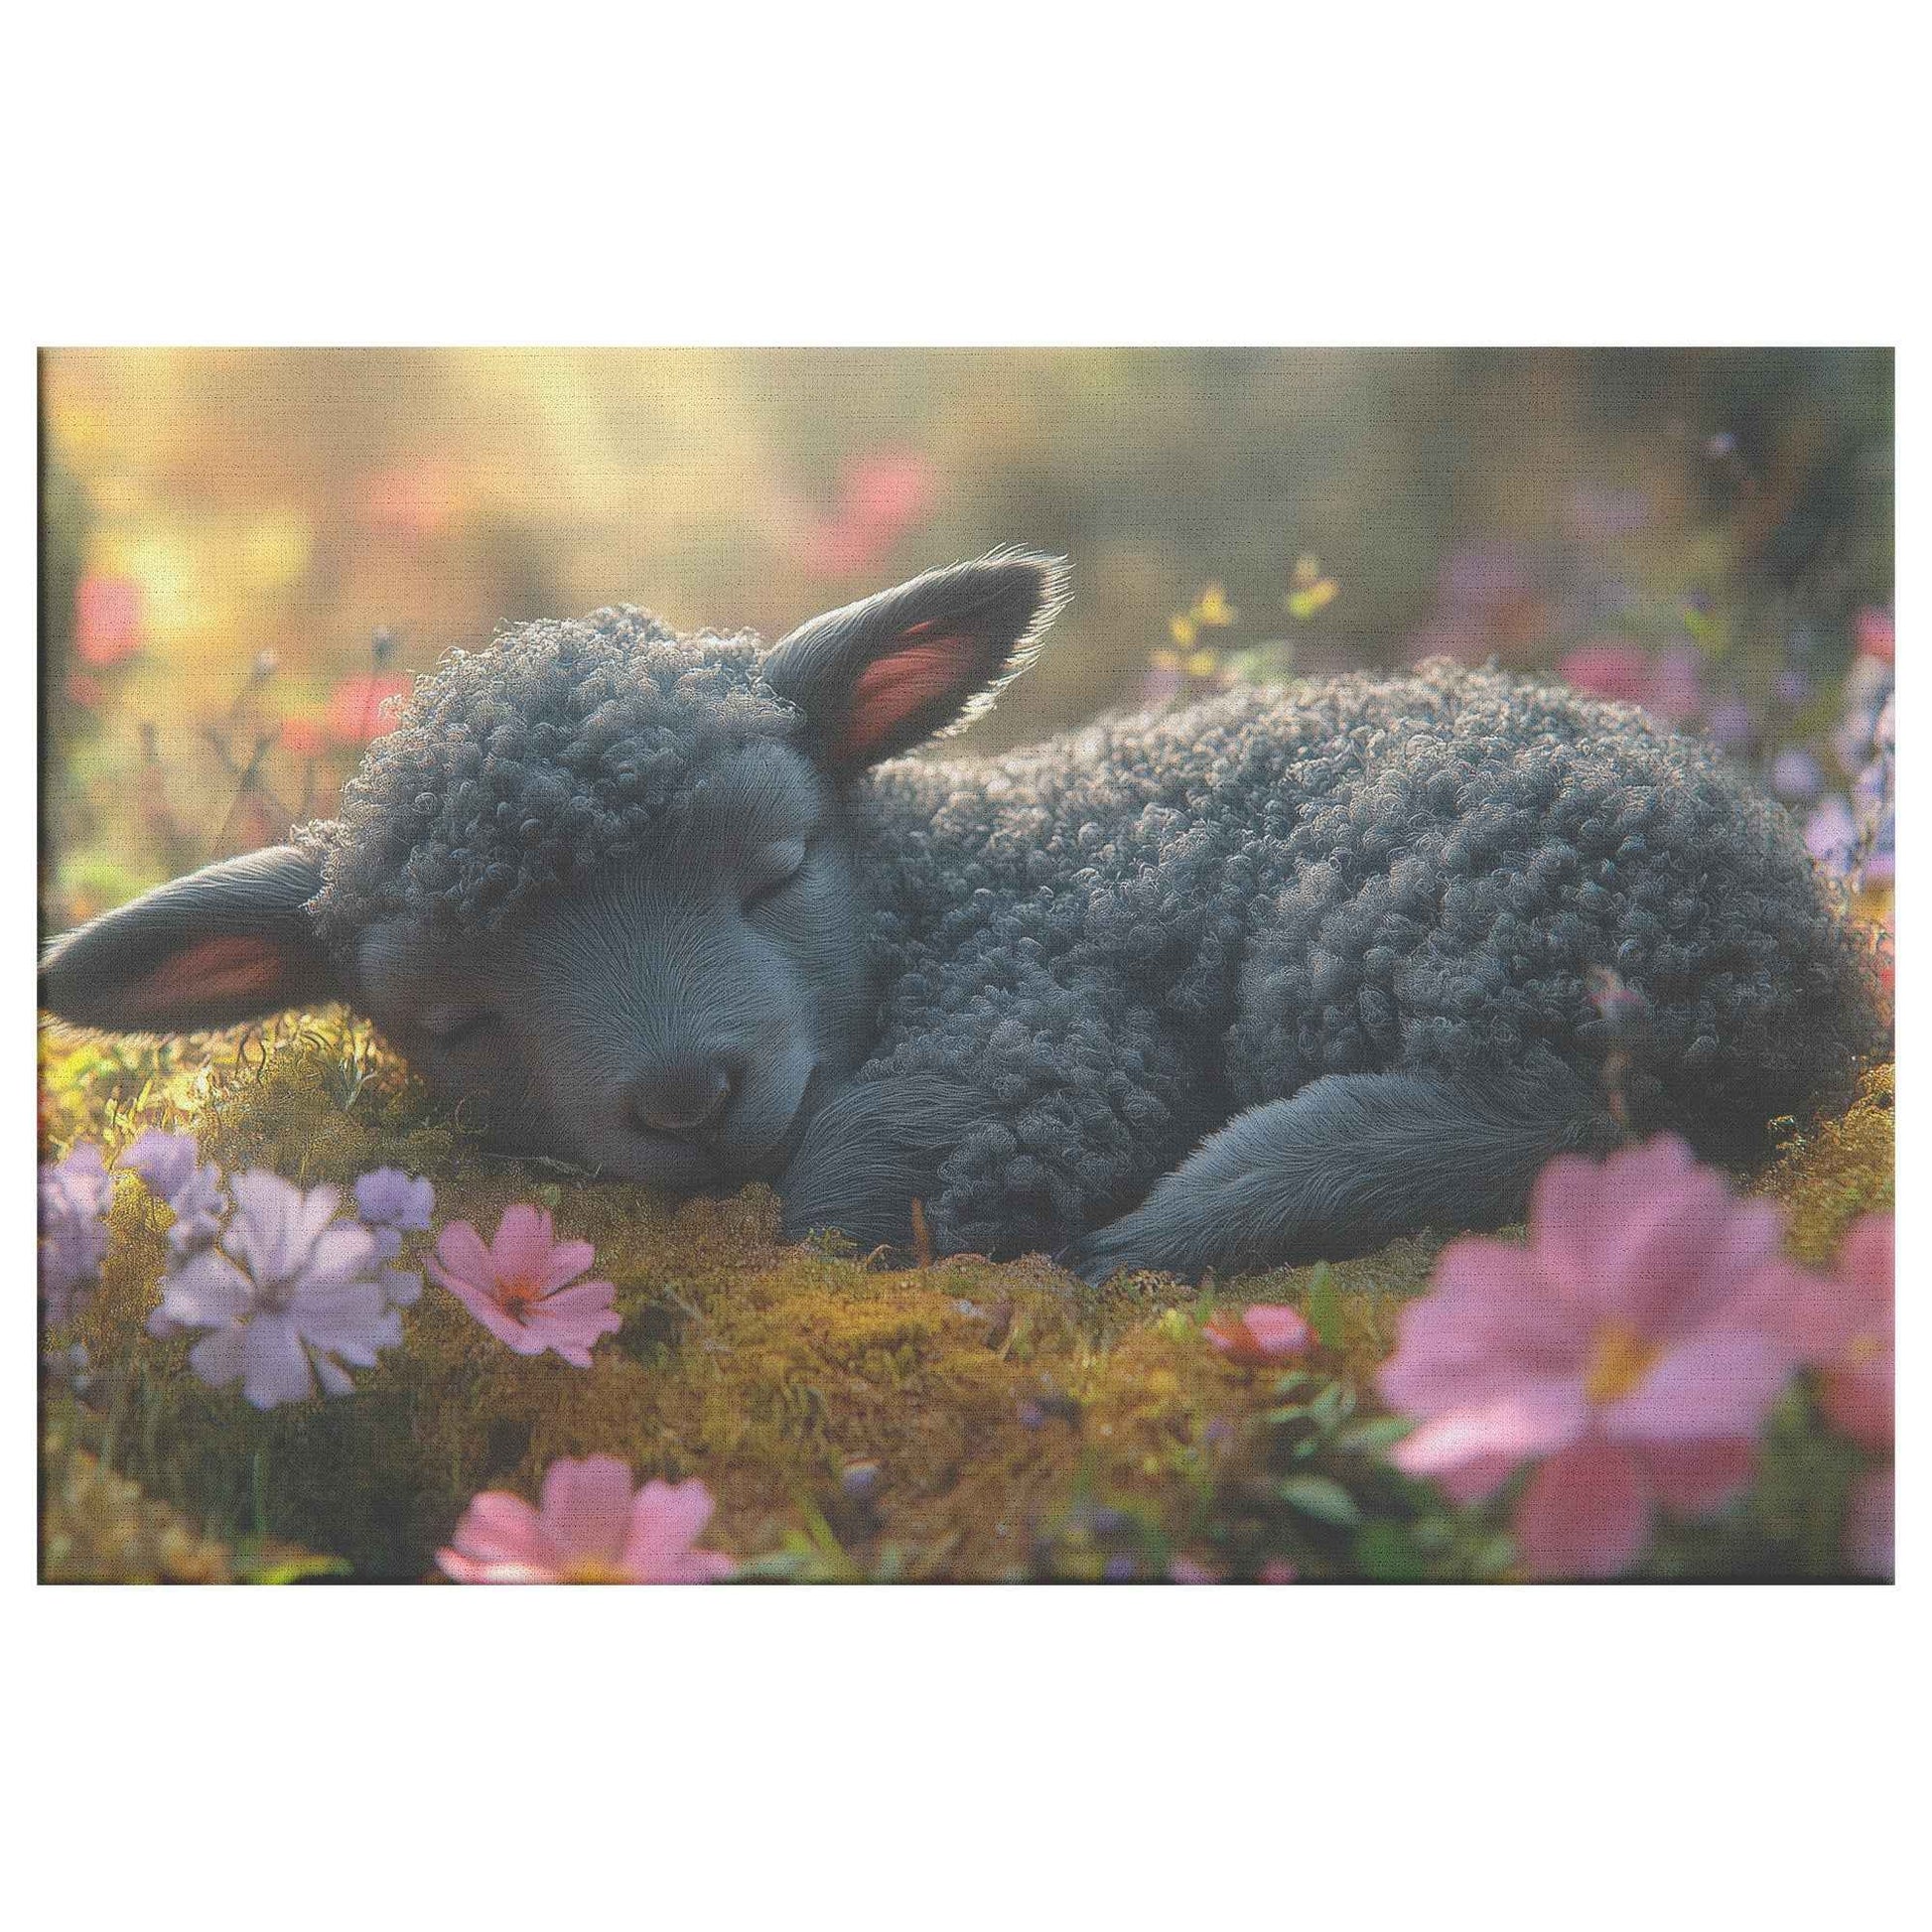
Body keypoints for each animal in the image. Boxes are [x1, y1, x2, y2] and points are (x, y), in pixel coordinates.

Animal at [39, 551, 1885, 1280]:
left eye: (775, 865)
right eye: (454, 1020)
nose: (685, 1092)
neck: (946, 882)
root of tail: (1791, 970)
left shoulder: (1043, 1038)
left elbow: (851, 1196)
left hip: (1425, 936)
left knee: (1537, 1122)